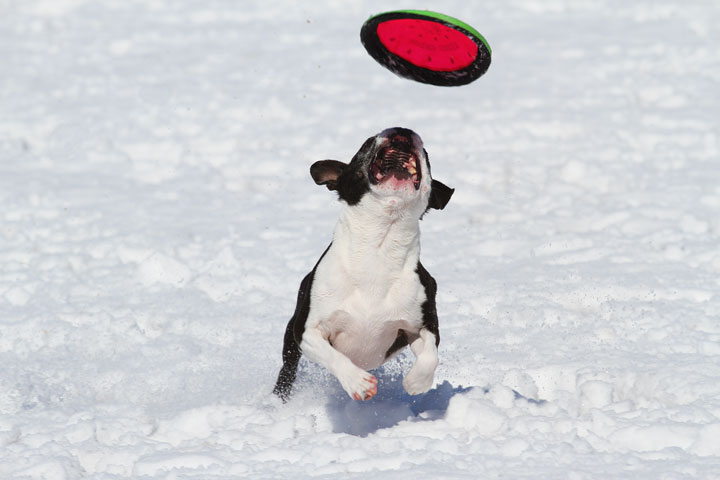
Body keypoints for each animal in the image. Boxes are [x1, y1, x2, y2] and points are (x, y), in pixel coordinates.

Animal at [272, 127, 452, 402]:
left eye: (427, 155)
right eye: (367, 143)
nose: (402, 130)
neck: (378, 250)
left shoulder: (421, 324)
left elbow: (431, 353)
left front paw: (417, 382)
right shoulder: (306, 331)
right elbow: (332, 355)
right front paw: (358, 382)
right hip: (291, 342)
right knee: (288, 370)